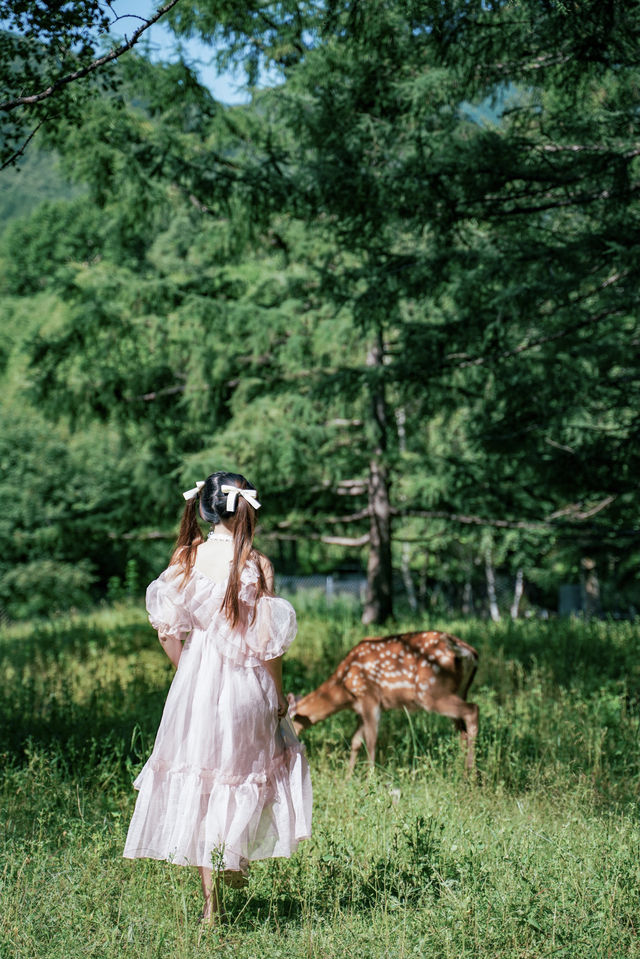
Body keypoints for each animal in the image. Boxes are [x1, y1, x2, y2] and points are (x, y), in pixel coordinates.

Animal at [288, 632, 478, 776]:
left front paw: (369, 780)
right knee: (462, 731)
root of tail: (469, 653)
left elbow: (371, 742)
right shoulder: (360, 708)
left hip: (431, 691)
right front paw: (347, 778)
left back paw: (470, 775)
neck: (344, 687)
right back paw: (461, 771)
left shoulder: (369, 697)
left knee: (473, 710)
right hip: (458, 691)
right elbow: (356, 741)